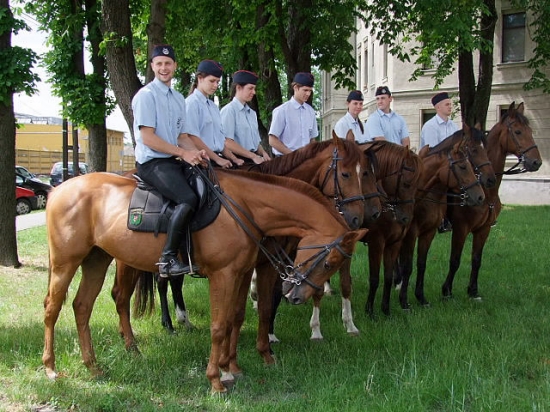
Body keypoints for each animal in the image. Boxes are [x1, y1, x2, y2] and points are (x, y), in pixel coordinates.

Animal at [42, 169, 366, 393]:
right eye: (329, 262)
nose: (296, 296)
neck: (244, 207)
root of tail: (57, 190)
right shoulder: (223, 274)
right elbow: (219, 325)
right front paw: (216, 379)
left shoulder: (241, 272)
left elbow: (236, 317)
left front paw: (231, 367)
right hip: (66, 263)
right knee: (54, 309)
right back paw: (51, 368)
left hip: (96, 260)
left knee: (82, 306)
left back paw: (93, 366)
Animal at [397, 124, 493, 311]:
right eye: (463, 166)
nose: (480, 196)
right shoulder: (412, 234)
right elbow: (407, 266)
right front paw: (404, 302)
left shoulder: (429, 232)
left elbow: (421, 264)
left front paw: (421, 298)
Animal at [442, 102, 542, 300]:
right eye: (518, 131)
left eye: (530, 130)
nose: (536, 162)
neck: (486, 191)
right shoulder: (461, 228)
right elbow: (455, 260)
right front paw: (447, 290)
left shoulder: (484, 229)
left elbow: (476, 259)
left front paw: (473, 291)